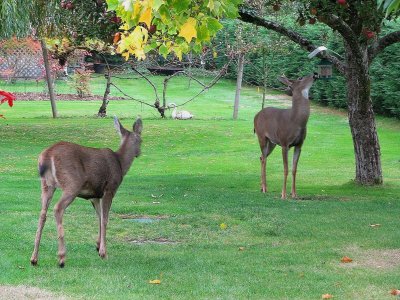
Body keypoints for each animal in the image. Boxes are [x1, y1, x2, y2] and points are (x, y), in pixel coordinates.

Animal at [30, 116, 142, 268]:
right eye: (141, 140)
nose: (139, 153)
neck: (120, 164)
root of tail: (47, 154)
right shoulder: (110, 189)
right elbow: (105, 219)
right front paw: (103, 253)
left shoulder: (94, 195)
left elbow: (99, 217)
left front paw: (98, 245)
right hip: (72, 184)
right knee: (58, 208)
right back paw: (61, 258)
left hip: (46, 184)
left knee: (42, 214)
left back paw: (34, 258)